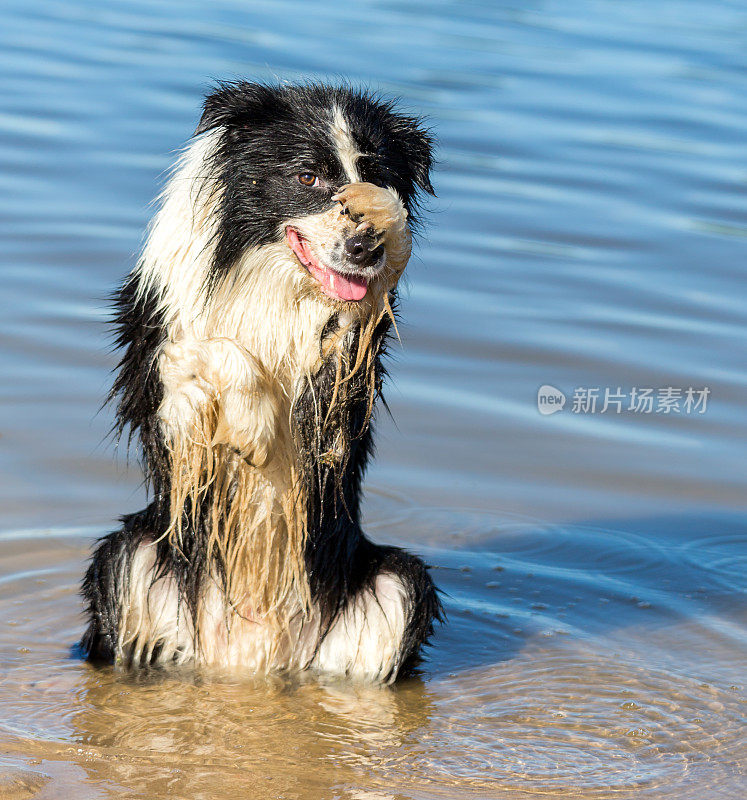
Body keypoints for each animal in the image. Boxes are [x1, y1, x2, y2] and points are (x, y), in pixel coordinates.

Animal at [80, 81, 444, 680]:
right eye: (308, 177)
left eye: (377, 177)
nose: (367, 249)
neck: (272, 280)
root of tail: (249, 657)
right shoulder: (161, 374)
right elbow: (202, 351)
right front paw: (251, 425)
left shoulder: (344, 390)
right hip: (131, 557)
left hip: (394, 584)